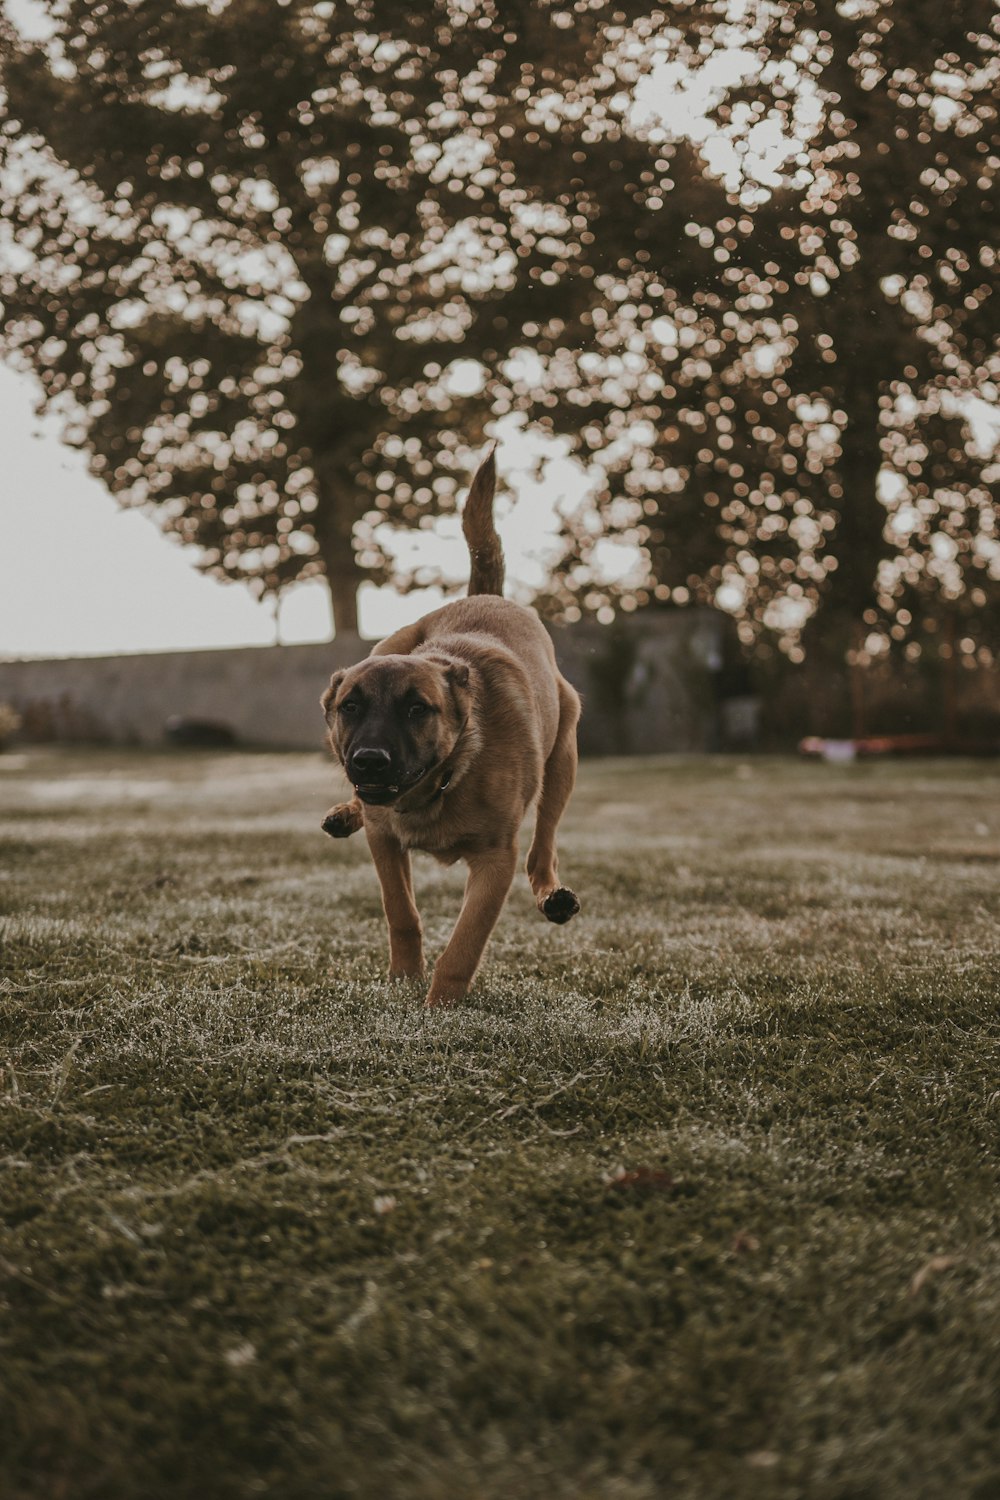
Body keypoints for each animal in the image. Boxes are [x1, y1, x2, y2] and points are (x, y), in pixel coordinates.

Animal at [322, 447, 578, 1008]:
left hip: (564, 761)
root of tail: (486, 596)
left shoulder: (494, 862)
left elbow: (466, 941)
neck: (442, 780)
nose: (369, 761)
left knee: (543, 848)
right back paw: (345, 813)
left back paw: (552, 894)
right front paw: (404, 979)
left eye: (418, 709)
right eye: (351, 707)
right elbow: (402, 913)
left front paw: (440, 1004)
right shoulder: (385, 841)